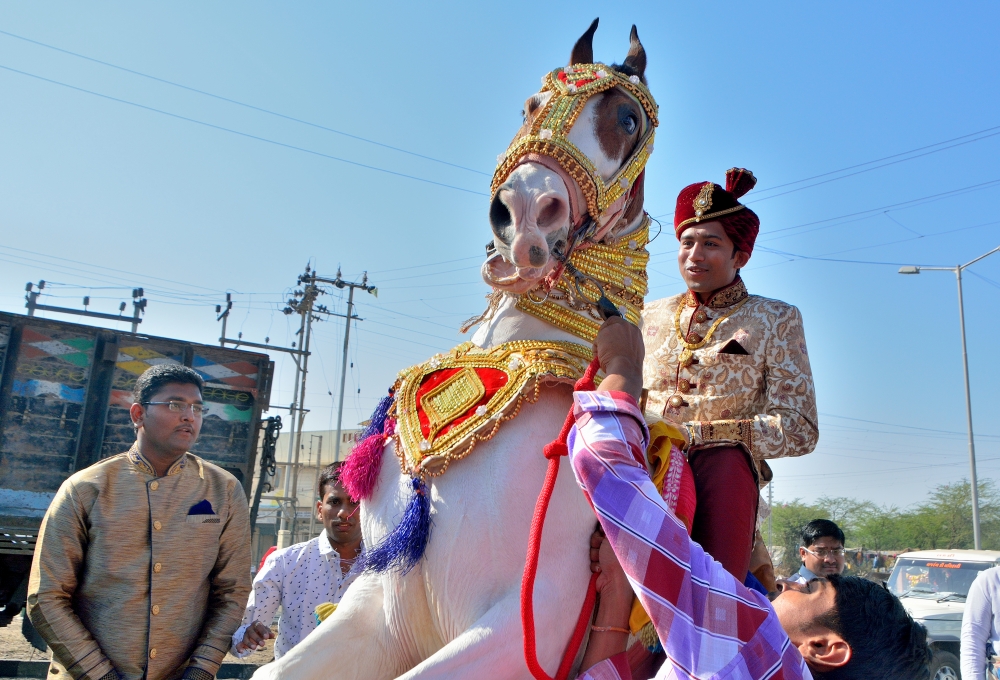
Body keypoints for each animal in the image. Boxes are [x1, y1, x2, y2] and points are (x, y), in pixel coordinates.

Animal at [258, 18, 660, 676]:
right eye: (531, 104)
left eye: (628, 121)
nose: (523, 214)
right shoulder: (379, 603)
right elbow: (274, 667)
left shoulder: (529, 623)